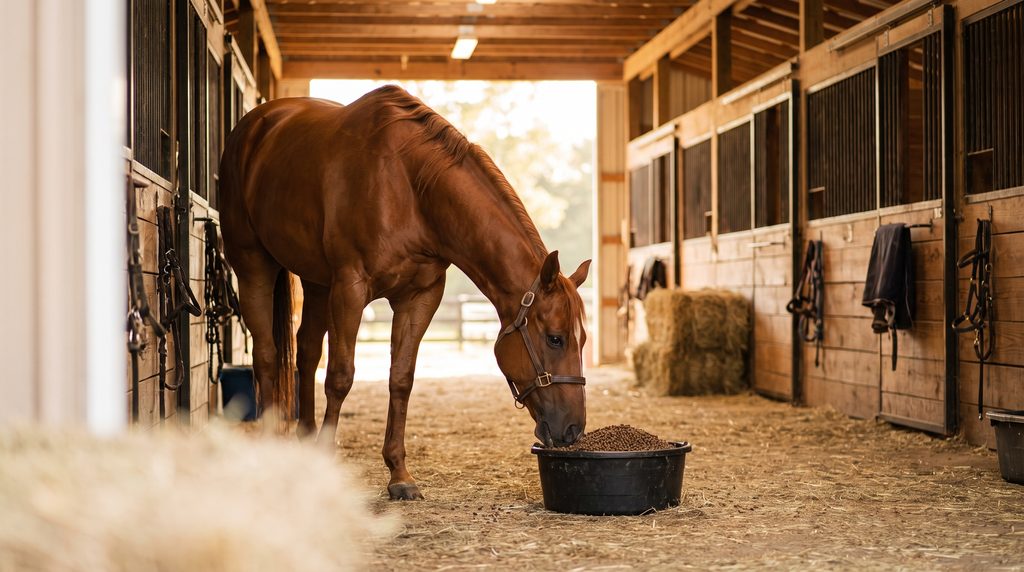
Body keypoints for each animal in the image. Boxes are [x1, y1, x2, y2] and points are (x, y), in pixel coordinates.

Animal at [219, 85, 591, 500]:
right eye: (556, 339)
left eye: (583, 340)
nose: (573, 429)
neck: (411, 188)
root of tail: (253, 126)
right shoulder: (350, 289)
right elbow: (340, 377)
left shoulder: (419, 297)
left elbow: (401, 378)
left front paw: (399, 474)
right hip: (254, 265)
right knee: (267, 356)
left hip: (316, 283)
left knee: (307, 352)